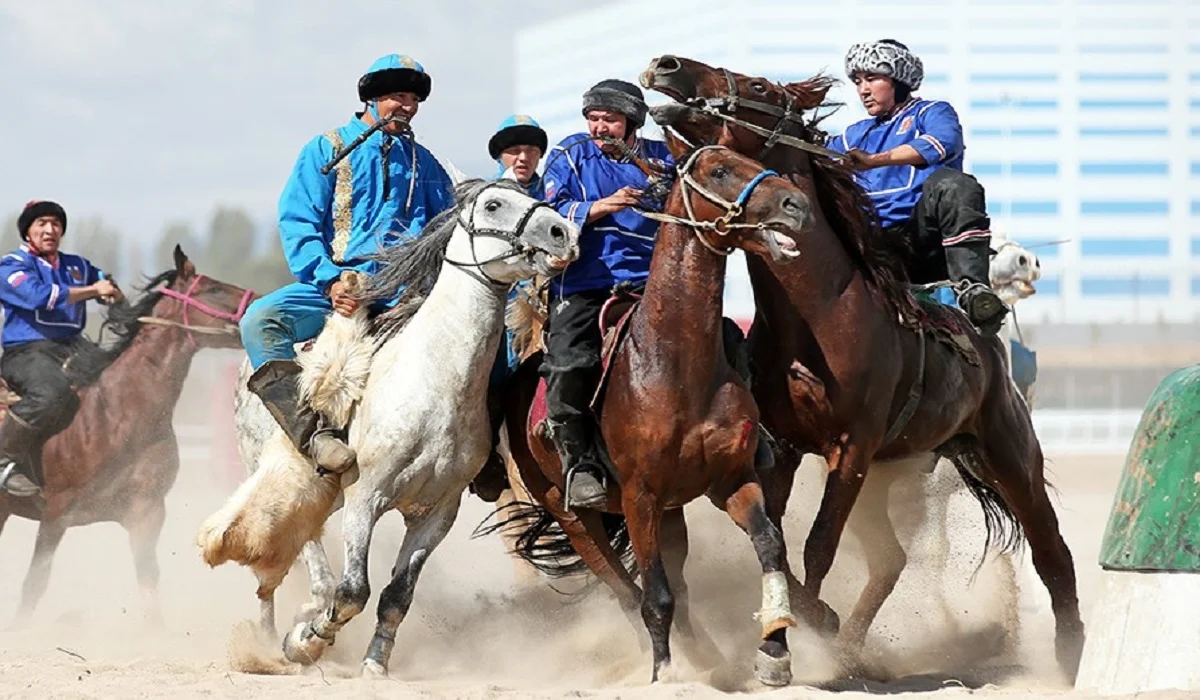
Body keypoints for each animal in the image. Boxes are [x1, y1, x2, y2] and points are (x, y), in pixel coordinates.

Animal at [0, 246, 253, 624]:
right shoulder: (55, 515)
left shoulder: (146, 512)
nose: (261, 303)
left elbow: (148, 582)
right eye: (214, 289)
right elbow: (34, 584)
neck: (116, 414)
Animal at [196, 177, 580, 677]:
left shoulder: (436, 513)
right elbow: (352, 591)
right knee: (293, 563)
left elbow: (397, 596)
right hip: (286, 481)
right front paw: (306, 640)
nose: (563, 232)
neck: (434, 382)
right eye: (494, 203)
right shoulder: (366, 496)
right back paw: (269, 643)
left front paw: (375, 663)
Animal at [492, 145, 811, 686]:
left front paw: (774, 650)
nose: (796, 203)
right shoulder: (639, 498)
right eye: (720, 170)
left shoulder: (732, 478)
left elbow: (769, 546)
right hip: (574, 515)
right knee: (626, 588)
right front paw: (664, 673)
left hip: (670, 512)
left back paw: (708, 659)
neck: (673, 363)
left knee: (674, 585)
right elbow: (653, 595)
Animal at [638, 56, 1089, 686]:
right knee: (891, 558)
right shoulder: (785, 447)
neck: (821, 315)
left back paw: (1068, 658)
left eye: (757, 85)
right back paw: (855, 647)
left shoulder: (850, 446)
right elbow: (777, 541)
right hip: (895, 474)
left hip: (1008, 451)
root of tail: (988, 345)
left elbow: (817, 546)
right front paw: (800, 634)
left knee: (1051, 550)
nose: (666, 66)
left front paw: (795, 641)